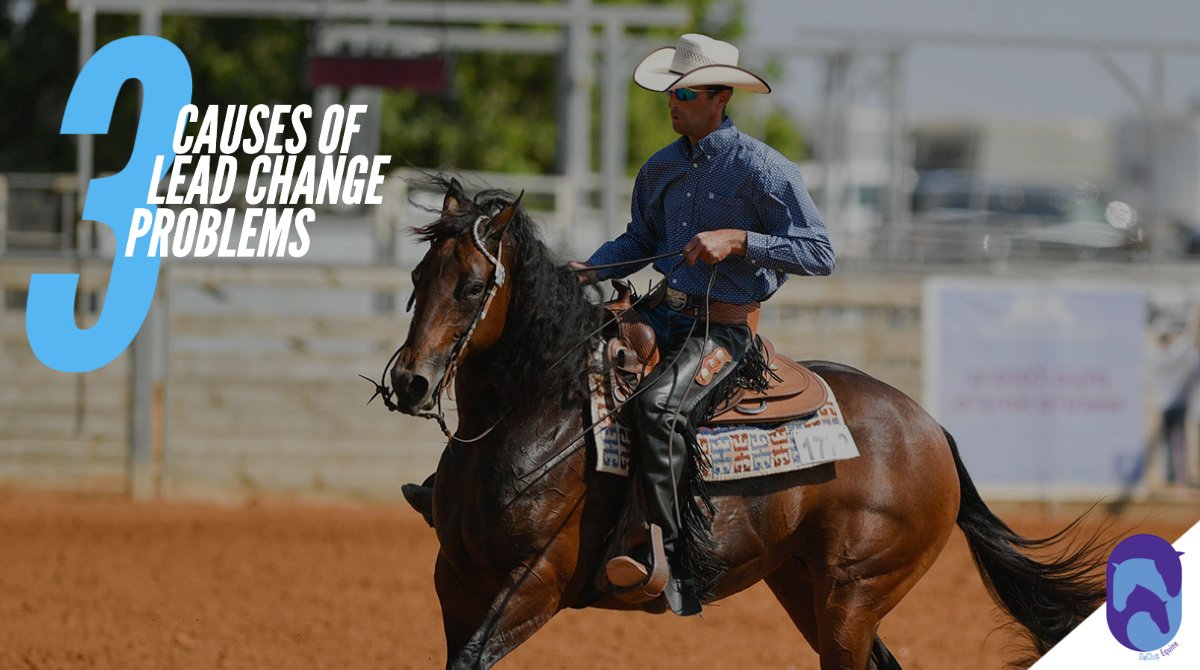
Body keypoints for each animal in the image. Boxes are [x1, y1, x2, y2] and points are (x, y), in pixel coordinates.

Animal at [380, 177, 1109, 669]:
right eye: (418, 276)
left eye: (475, 286)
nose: (410, 381)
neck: (529, 416)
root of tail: (930, 428)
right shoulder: (457, 581)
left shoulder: (537, 582)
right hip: (802, 583)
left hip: (855, 594)